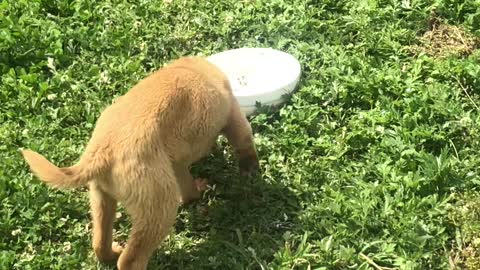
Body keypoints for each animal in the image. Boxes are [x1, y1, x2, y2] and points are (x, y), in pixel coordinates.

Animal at [20, 56, 258, 268]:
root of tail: (102, 150)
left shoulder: (176, 164)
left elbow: (187, 186)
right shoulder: (233, 115)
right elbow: (245, 145)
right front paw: (251, 172)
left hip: (101, 198)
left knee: (99, 240)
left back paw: (110, 252)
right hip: (158, 207)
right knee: (131, 259)